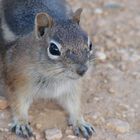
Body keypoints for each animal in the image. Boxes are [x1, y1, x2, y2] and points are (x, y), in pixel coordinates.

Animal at [0, 0, 95, 139]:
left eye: (90, 45)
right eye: (54, 49)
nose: (82, 70)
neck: (53, 76)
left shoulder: (72, 86)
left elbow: (74, 104)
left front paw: (80, 122)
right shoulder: (17, 82)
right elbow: (18, 104)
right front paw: (21, 122)